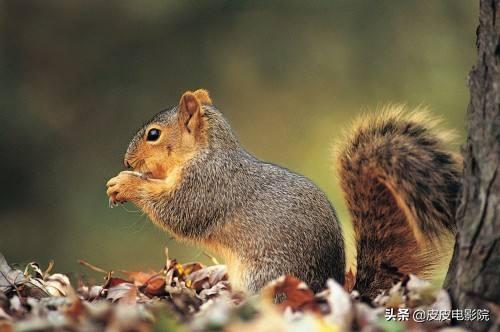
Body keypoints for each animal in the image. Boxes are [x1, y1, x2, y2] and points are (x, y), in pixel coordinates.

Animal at [107, 88, 462, 298]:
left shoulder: (206, 186)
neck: (207, 151)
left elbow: (177, 212)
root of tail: (324, 289)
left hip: (265, 276)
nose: (126, 160)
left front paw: (125, 183)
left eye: (154, 135)